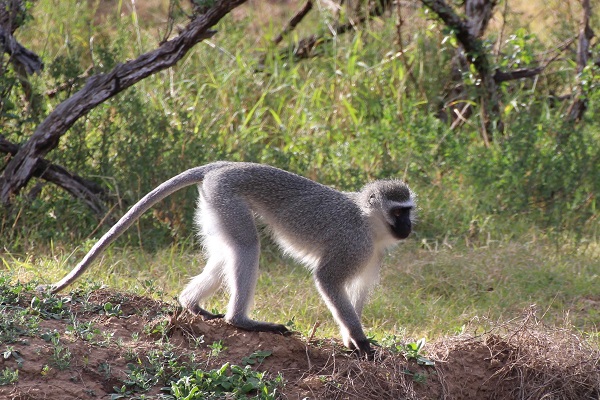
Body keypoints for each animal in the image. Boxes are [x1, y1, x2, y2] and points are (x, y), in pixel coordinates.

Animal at [39, 161, 418, 358]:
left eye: (409, 211)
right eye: (399, 212)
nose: (409, 227)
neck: (369, 222)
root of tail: (223, 164)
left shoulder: (373, 254)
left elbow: (357, 291)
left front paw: (351, 339)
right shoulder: (353, 244)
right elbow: (328, 279)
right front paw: (361, 341)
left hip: (214, 203)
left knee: (227, 252)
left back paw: (191, 304)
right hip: (227, 196)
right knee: (247, 247)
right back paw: (242, 321)